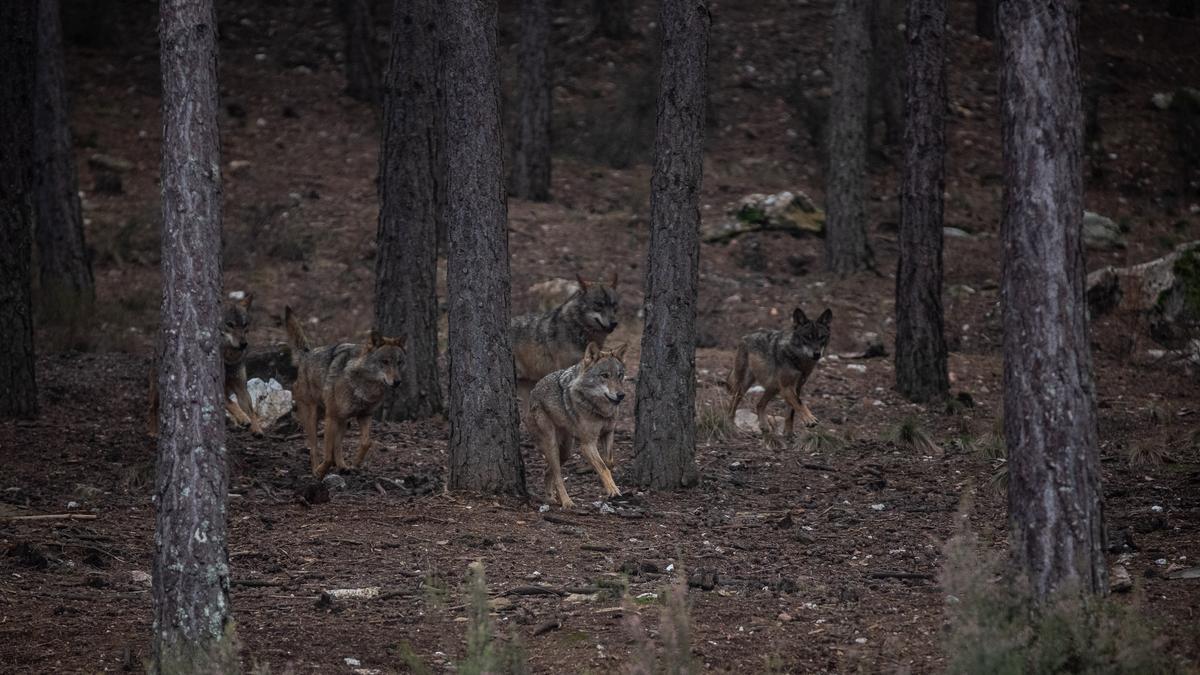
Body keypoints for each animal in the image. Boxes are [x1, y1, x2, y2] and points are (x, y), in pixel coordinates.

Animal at [146, 294, 261, 437]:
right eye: (230, 324)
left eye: (244, 325)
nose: (243, 344)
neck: (228, 359)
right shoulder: (218, 387)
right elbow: (232, 403)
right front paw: (243, 418)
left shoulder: (241, 387)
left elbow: (251, 410)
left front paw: (256, 428)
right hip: (158, 386)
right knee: (152, 406)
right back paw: (153, 432)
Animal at [283, 305, 405, 478]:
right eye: (385, 362)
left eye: (399, 363)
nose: (397, 382)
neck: (365, 386)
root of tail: (307, 354)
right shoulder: (331, 417)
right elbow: (327, 455)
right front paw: (320, 471)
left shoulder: (364, 415)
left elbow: (366, 442)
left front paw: (355, 463)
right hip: (314, 417)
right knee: (314, 447)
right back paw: (315, 469)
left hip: (344, 421)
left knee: (337, 446)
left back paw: (343, 466)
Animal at [532, 341, 633, 504]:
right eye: (604, 376)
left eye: (620, 375)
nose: (621, 395)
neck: (600, 411)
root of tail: (534, 388)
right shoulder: (587, 444)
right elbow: (603, 467)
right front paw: (613, 490)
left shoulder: (608, 433)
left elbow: (609, 462)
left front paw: (606, 486)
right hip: (553, 445)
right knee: (558, 475)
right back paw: (567, 503)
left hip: (566, 451)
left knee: (548, 471)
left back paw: (550, 498)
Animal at [724, 305, 830, 441]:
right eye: (807, 337)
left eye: (822, 337)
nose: (817, 354)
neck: (798, 359)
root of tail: (745, 337)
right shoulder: (787, 387)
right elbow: (800, 403)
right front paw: (810, 419)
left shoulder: (797, 387)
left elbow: (791, 413)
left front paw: (789, 434)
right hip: (743, 387)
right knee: (732, 407)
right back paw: (732, 428)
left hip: (773, 388)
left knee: (759, 404)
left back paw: (764, 427)